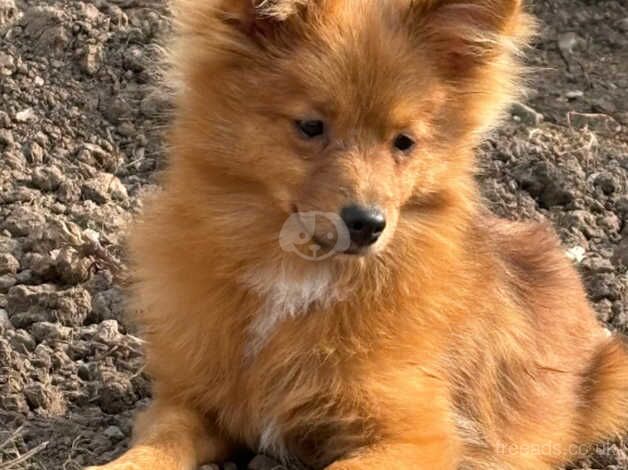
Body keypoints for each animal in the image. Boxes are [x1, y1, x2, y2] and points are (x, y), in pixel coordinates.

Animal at [88, 0, 628, 470]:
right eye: (310, 126)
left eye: (404, 142)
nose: (368, 223)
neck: (297, 275)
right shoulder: (186, 402)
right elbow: (160, 444)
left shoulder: (416, 436)